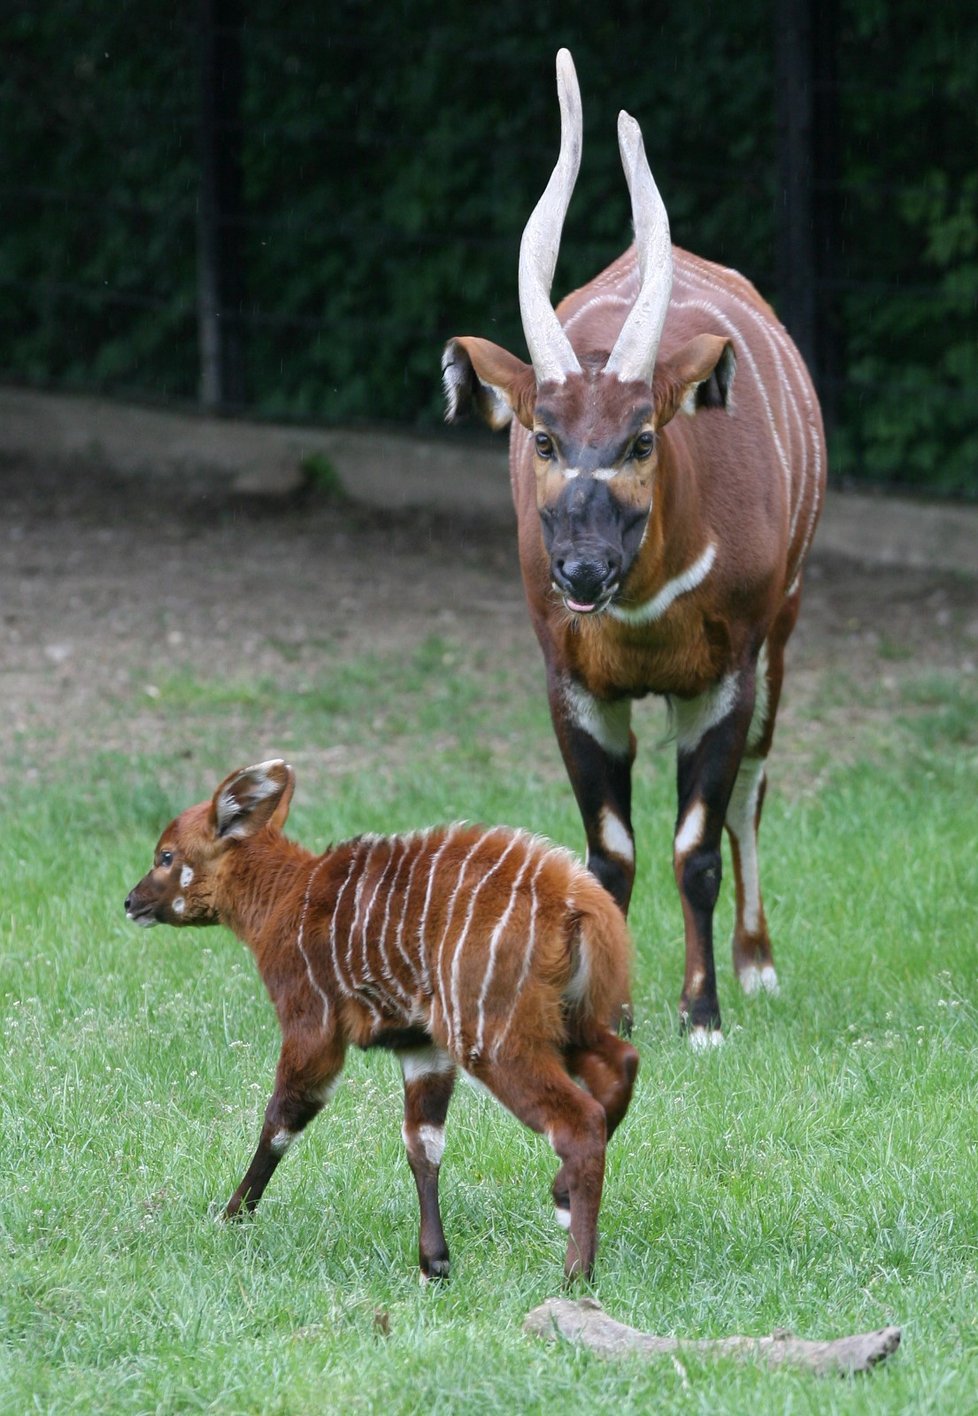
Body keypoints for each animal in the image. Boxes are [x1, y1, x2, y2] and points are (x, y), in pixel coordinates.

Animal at [122, 764, 639, 1285]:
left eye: (165, 855)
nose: (130, 901)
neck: (287, 895)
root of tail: (581, 905)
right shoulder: (421, 1048)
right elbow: (423, 1145)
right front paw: (434, 1264)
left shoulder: (314, 1029)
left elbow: (280, 1121)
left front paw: (230, 1217)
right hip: (569, 1026)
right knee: (623, 1064)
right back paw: (561, 1196)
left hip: (491, 1038)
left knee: (580, 1121)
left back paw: (576, 1273)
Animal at [444, 49, 826, 1042]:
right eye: (544, 439)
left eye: (642, 438)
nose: (582, 570)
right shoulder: (573, 684)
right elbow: (608, 855)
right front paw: (604, 1018)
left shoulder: (724, 676)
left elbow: (696, 844)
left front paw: (703, 1015)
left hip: (783, 634)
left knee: (753, 793)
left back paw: (757, 963)